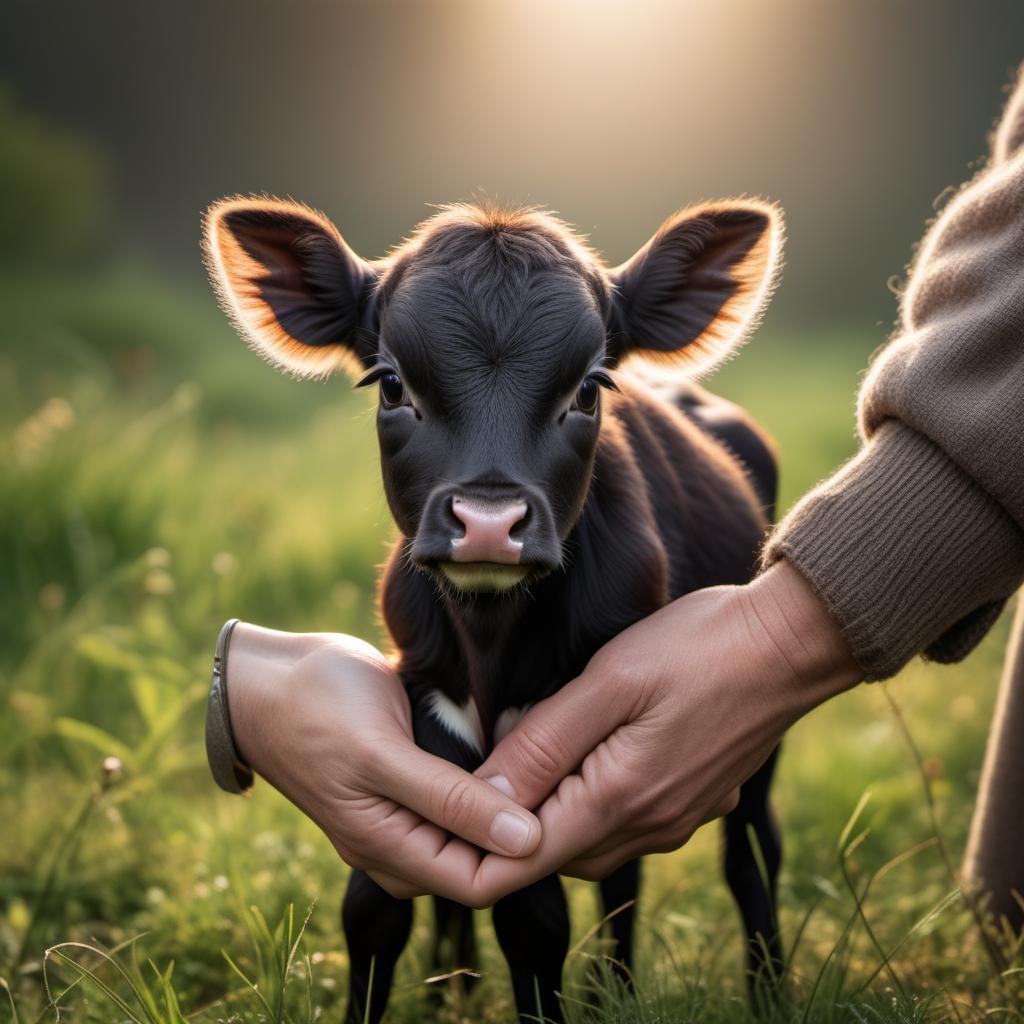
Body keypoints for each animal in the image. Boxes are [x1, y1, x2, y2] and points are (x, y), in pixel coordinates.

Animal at [205, 195, 782, 1019]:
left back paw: (763, 989)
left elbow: (533, 912)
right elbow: (381, 899)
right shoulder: (421, 690)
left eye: (589, 389)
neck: (489, 647)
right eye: (391, 385)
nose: (486, 522)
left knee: (748, 850)